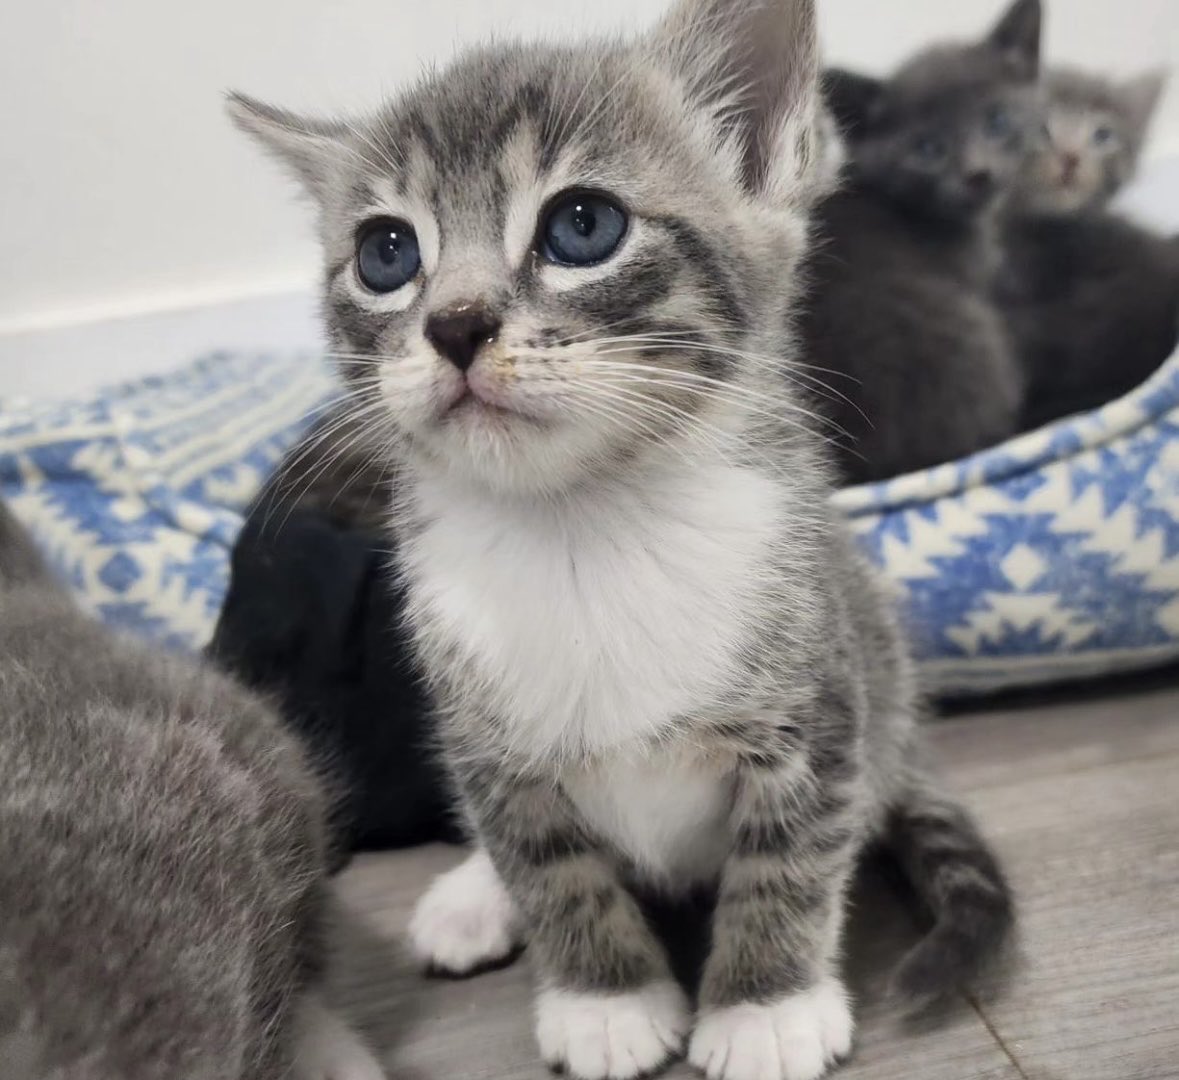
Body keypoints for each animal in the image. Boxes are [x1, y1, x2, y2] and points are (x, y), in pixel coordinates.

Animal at [232, 2, 1013, 1080]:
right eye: (385, 253)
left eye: (582, 226)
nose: (455, 324)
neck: (583, 527)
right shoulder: (484, 737)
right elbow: (547, 864)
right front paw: (604, 996)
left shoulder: (819, 697)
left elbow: (791, 853)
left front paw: (764, 1003)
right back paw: (474, 896)